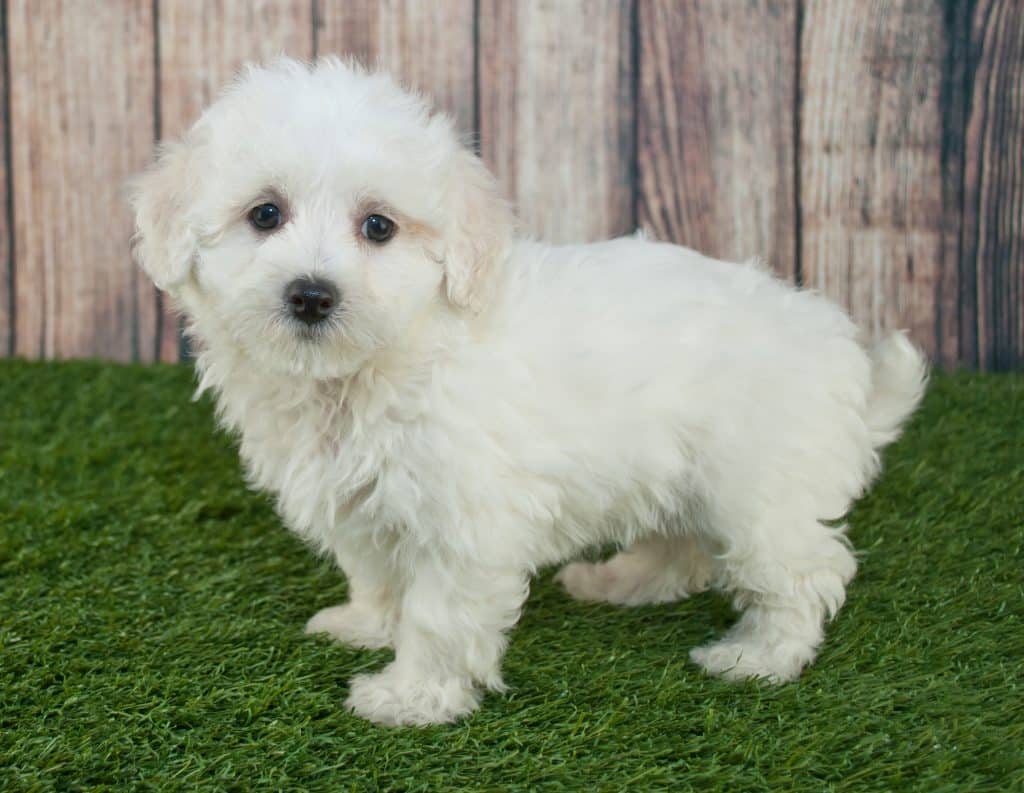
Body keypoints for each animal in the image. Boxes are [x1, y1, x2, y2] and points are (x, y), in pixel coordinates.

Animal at [128, 58, 929, 729]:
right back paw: (619, 580)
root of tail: (842, 359)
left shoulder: (463, 519)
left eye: (378, 226)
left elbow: (438, 614)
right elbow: (381, 575)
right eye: (265, 214)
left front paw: (412, 696)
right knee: (683, 546)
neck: (378, 365)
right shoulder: (364, 503)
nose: (312, 294)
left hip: (757, 486)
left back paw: (759, 655)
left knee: (804, 570)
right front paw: (367, 624)